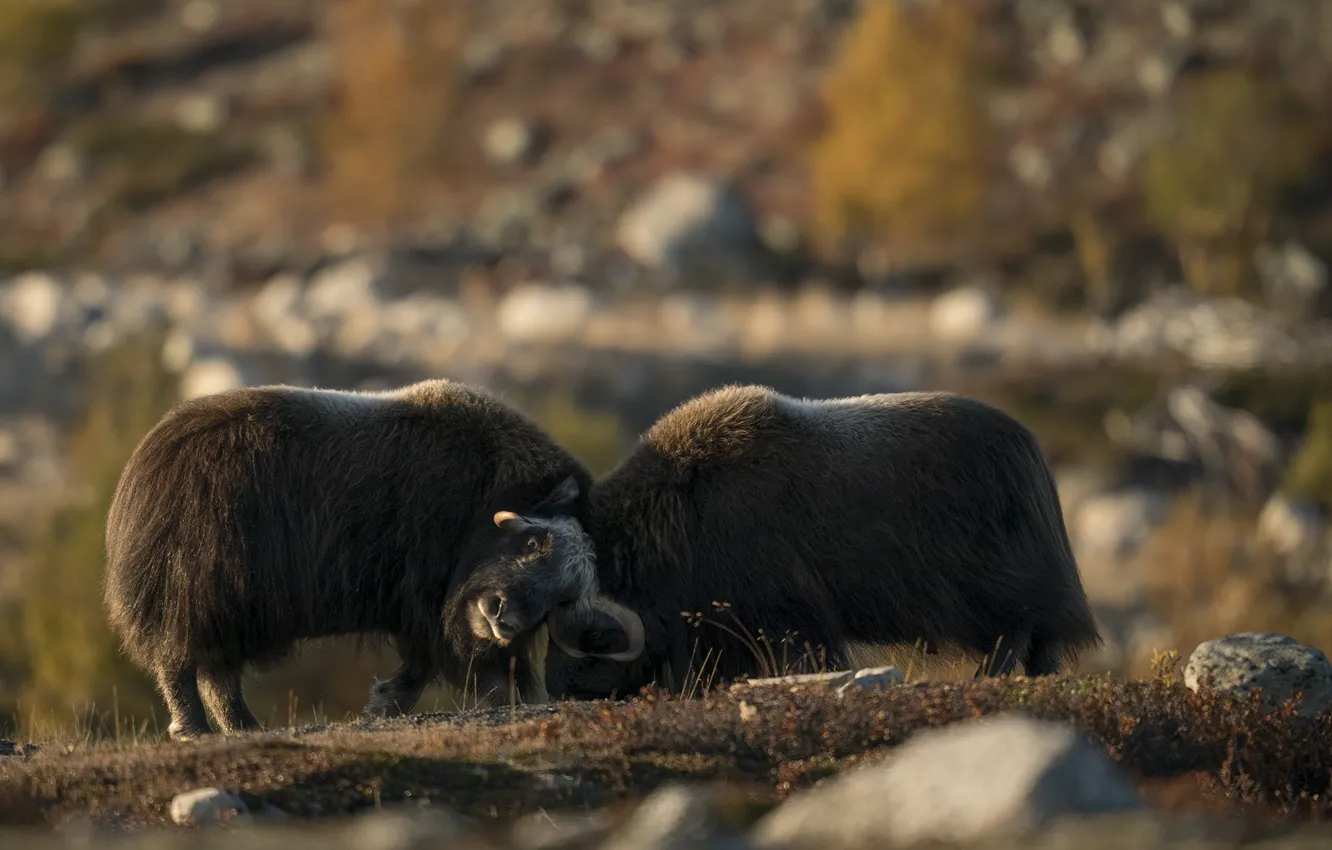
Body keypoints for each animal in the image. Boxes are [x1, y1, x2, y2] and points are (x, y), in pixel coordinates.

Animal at [103, 378, 595, 740]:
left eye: (561, 599)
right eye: (532, 543)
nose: (501, 620)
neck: (485, 495)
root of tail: (146, 459)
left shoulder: (424, 615)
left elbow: (422, 668)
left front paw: (380, 705)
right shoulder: (428, 601)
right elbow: (461, 665)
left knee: (215, 672)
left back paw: (242, 727)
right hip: (200, 593)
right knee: (181, 662)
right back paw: (195, 730)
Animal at [531, 384, 1104, 701]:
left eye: (591, 631)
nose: (561, 687)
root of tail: (1030, 450)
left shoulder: (785, 616)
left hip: (997, 586)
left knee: (1018, 630)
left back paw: (987, 678)